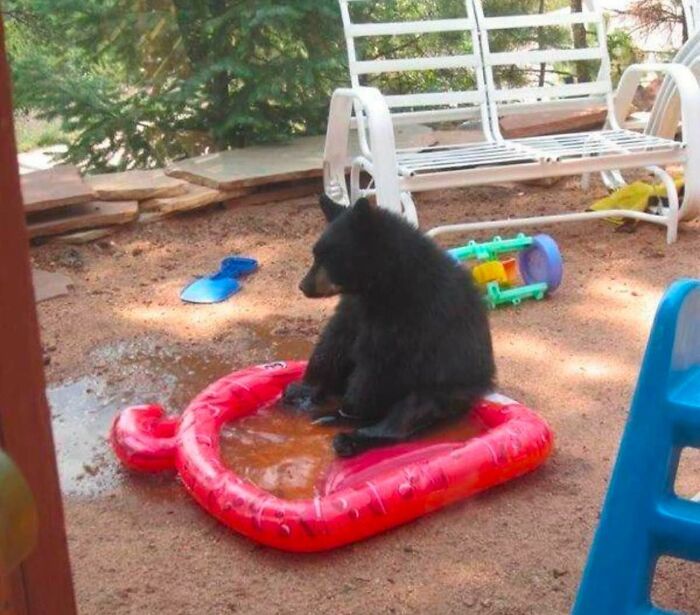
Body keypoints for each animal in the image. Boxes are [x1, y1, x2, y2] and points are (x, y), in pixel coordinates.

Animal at [283, 194, 496, 457]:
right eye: (316, 254)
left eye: (330, 257)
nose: (303, 285)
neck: (383, 283)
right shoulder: (355, 306)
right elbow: (335, 339)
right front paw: (304, 389)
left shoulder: (413, 313)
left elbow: (380, 362)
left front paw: (347, 410)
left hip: (445, 388)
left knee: (409, 412)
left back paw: (348, 435)